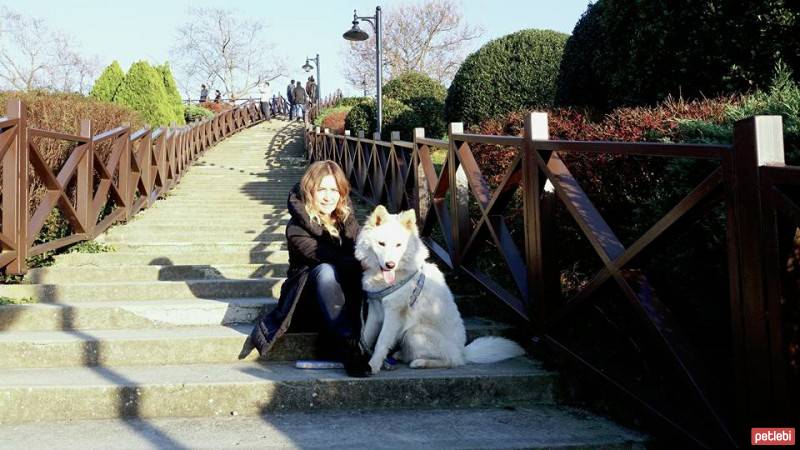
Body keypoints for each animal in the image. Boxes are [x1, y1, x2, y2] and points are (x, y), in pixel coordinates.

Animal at [356, 206, 524, 374]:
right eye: (381, 244)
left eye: (399, 245)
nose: (390, 265)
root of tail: (463, 351)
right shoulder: (375, 311)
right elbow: (365, 337)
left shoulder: (394, 313)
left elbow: (381, 342)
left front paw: (373, 365)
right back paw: (401, 355)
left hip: (414, 333)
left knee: (451, 361)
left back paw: (420, 362)